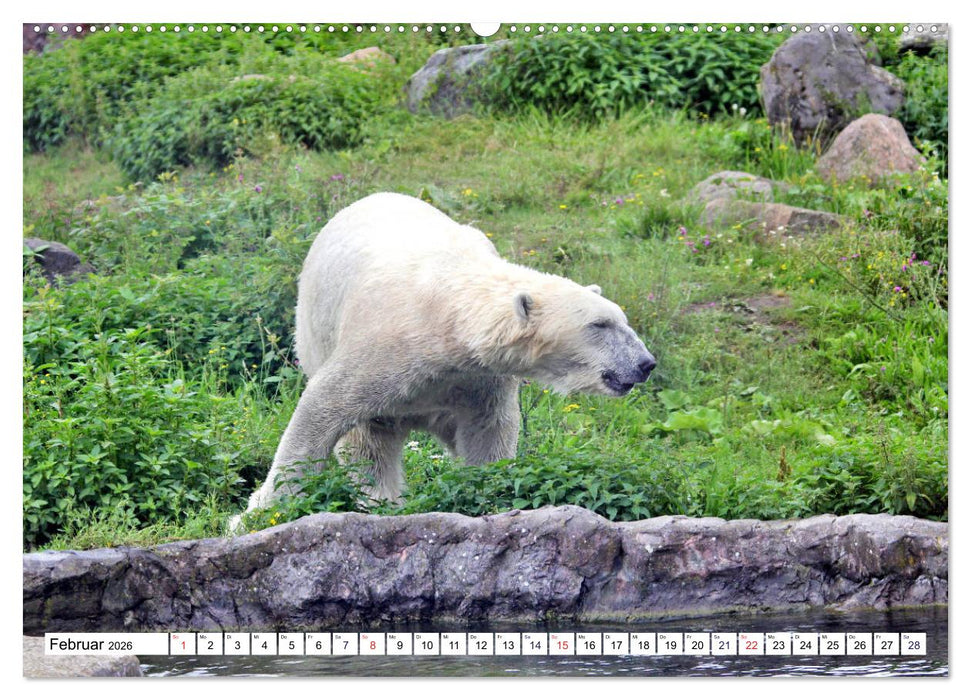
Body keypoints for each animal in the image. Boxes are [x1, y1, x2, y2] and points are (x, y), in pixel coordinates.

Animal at [233, 192, 656, 527]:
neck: (448, 308)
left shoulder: (476, 377)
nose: (645, 363)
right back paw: (384, 500)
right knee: (368, 442)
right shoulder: (382, 345)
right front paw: (255, 514)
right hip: (315, 326)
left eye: (622, 319)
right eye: (599, 324)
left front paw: (491, 495)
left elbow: (488, 432)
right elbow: (323, 409)